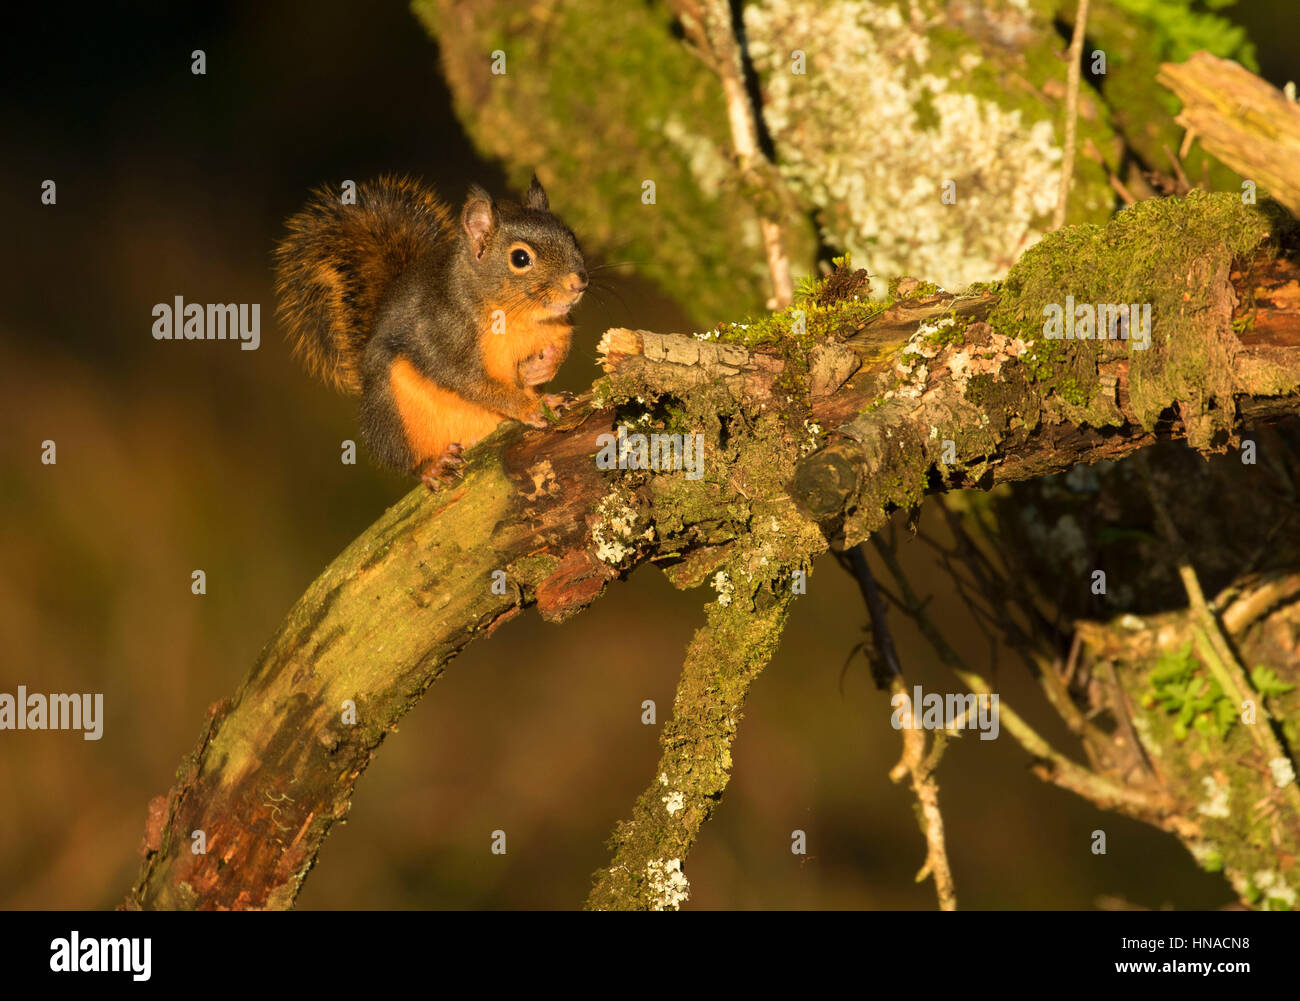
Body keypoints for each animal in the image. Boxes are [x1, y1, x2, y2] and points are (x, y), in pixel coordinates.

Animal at [273, 174, 587, 487]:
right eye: (520, 258)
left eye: (572, 237)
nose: (579, 283)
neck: (519, 316)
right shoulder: (442, 335)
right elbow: (469, 381)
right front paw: (529, 407)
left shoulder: (558, 326)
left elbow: (564, 342)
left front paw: (541, 369)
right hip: (394, 413)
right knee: (405, 459)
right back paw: (433, 465)